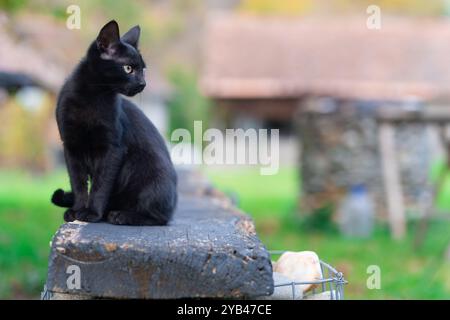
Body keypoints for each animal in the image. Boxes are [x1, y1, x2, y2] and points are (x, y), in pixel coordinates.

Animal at [52, 20, 178, 225]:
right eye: (128, 68)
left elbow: (100, 185)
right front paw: (76, 210)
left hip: (152, 178)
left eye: (143, 70)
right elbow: (78, 183)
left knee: (160, 218)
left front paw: (92, 213)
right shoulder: (70, 146)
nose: (143, 84)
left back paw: (121, 215)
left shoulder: (112, 148)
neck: (93, 98)